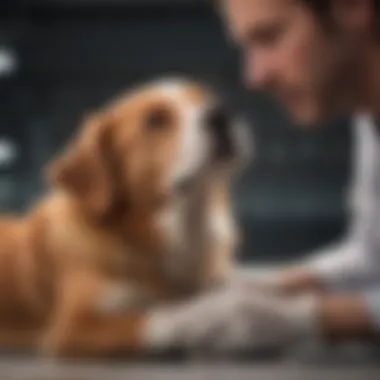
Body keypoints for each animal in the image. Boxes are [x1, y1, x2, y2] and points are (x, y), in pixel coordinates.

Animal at [0, 78, 249, 360]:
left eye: (206, 98)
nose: (222, 114)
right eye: (154, 119)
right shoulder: (72, 327)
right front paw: (221, 317)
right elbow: (157, 317)